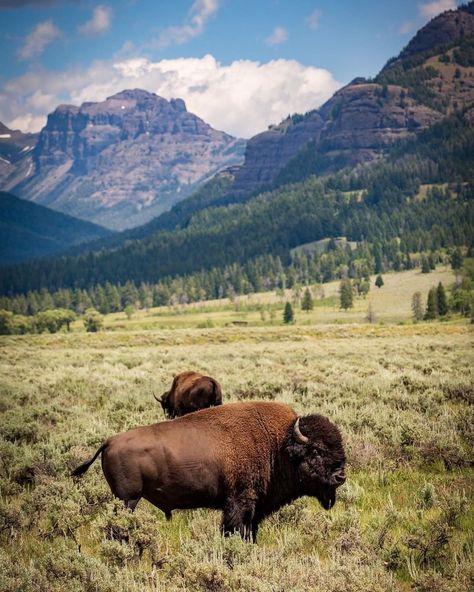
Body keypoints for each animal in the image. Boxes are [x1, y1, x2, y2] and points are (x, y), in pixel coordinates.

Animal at [71, 400, 344, 544]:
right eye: (316, 450)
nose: (340, 476)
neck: (278, 445)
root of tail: (110, 441)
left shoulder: (254, 508)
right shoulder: (239, 502)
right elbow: (235, 529)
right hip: (128, 499)